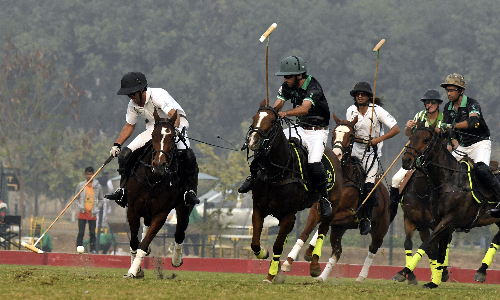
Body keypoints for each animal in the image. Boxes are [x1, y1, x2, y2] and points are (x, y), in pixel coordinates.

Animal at [124, 110, 194, 278]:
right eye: (153, 135)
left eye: (173, 137)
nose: (159, 166)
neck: (152, 178)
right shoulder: (132, 210)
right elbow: (134, 242)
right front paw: (136, 270)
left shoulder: (161, 214)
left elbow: (143, 244)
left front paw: (132, 271)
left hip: (184, 207)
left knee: (179, 233)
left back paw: (176, 260)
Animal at [243, 101, 344, 284]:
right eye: (255, 118)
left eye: (272, 121)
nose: (253, 141)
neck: (276, 172)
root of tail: (335, 155)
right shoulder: (259, 209)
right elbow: (255, 243)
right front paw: (266, 257)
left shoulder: (288, 214)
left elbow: (278, 245)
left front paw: (270, 276)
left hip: (332, 205)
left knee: (323, 229)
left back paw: (314, 266)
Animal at [282, 112, 390, 284]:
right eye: (334, 133)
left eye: (351, 135)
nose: (338, 154)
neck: (344, 178)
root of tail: (385, 192)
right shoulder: (317, 209)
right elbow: (305, 232)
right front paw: (289, 262)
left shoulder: (349, 214)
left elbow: (321, 225)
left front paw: (309, 253)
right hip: (340, 229)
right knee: (337, 251)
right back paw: (321, 277)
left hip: (380, 228)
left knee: (372, 250)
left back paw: (360, 277)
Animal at [392, 121, 498, 288]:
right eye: (411, 137)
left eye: (426, 139)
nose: (406, 161)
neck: (448, 181)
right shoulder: (429, 220)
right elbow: (436, 249)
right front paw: (434, 280)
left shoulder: (448, 219)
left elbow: (428, 244)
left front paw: (404, 272)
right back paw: (481, 271)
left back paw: (481, 271)